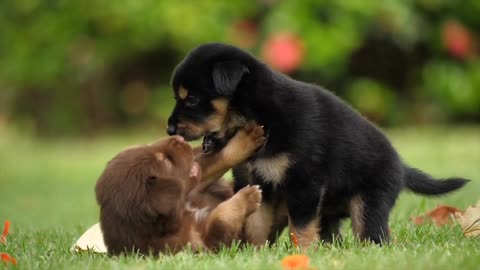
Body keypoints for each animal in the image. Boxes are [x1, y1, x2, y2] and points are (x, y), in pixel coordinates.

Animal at [95, 124, 264, 255]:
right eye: (165, 161)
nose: (179, 138)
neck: (182, 212)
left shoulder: (193, 189)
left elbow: (213, 161)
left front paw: (245, 140)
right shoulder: (206, 247)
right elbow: (220, 218)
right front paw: (248, 196)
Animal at [166, 43, 468, 248]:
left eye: (191, 99)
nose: (169, 129)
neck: (256, 114)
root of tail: (402, 168)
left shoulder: (304, 182)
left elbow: (299, 228)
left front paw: (303, 253)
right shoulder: (258, 182)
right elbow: (255, 223)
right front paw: (254, 251)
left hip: (369, 202)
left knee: (373, 235)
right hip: (331, 212)